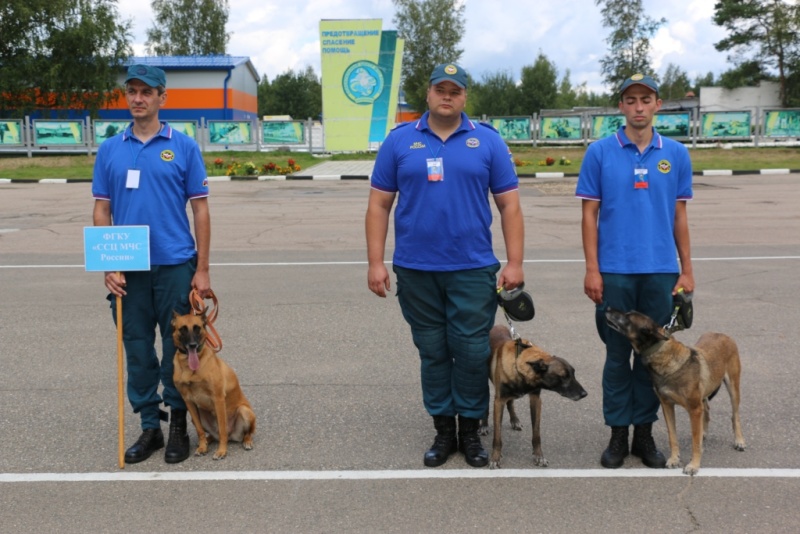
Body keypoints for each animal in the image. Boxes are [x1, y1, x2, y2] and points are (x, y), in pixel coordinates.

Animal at [172, 312, 256, 462]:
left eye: (197, 328)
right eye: (183, 329)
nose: (193, 345)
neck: (189, 367)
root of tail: (233, 435)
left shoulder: (218, 399)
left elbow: (222, 430)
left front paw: (222, 451)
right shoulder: (188, 402)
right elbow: (199, 430)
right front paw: (202, 447)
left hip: (245, 411)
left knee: (245, 433)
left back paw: (247, 441)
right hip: (196, 416)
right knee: (211, 435)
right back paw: (206, 441)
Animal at [482, 324, 588, 472]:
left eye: (573, 373)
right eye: (564, 376)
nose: (584, 394)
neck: (519, 363)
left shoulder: (536, 400)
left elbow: (536, 434)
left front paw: (539, 456)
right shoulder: (499, 402)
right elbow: (497, 437)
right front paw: (495, 458)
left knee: (511, 403)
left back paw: (514, 420)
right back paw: (484, 425)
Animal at [604, 310, 748, 478]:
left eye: (628, 317)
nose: (607, 308)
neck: (663, 355)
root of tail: (722, 334)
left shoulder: (694, 409)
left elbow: (694, 442)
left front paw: (693, 465)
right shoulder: (667, 406)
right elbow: (672, 436)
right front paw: (674, 459)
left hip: (733, 388)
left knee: (735, 416)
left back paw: (739, 441)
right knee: (706, 409)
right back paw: (704, 432)